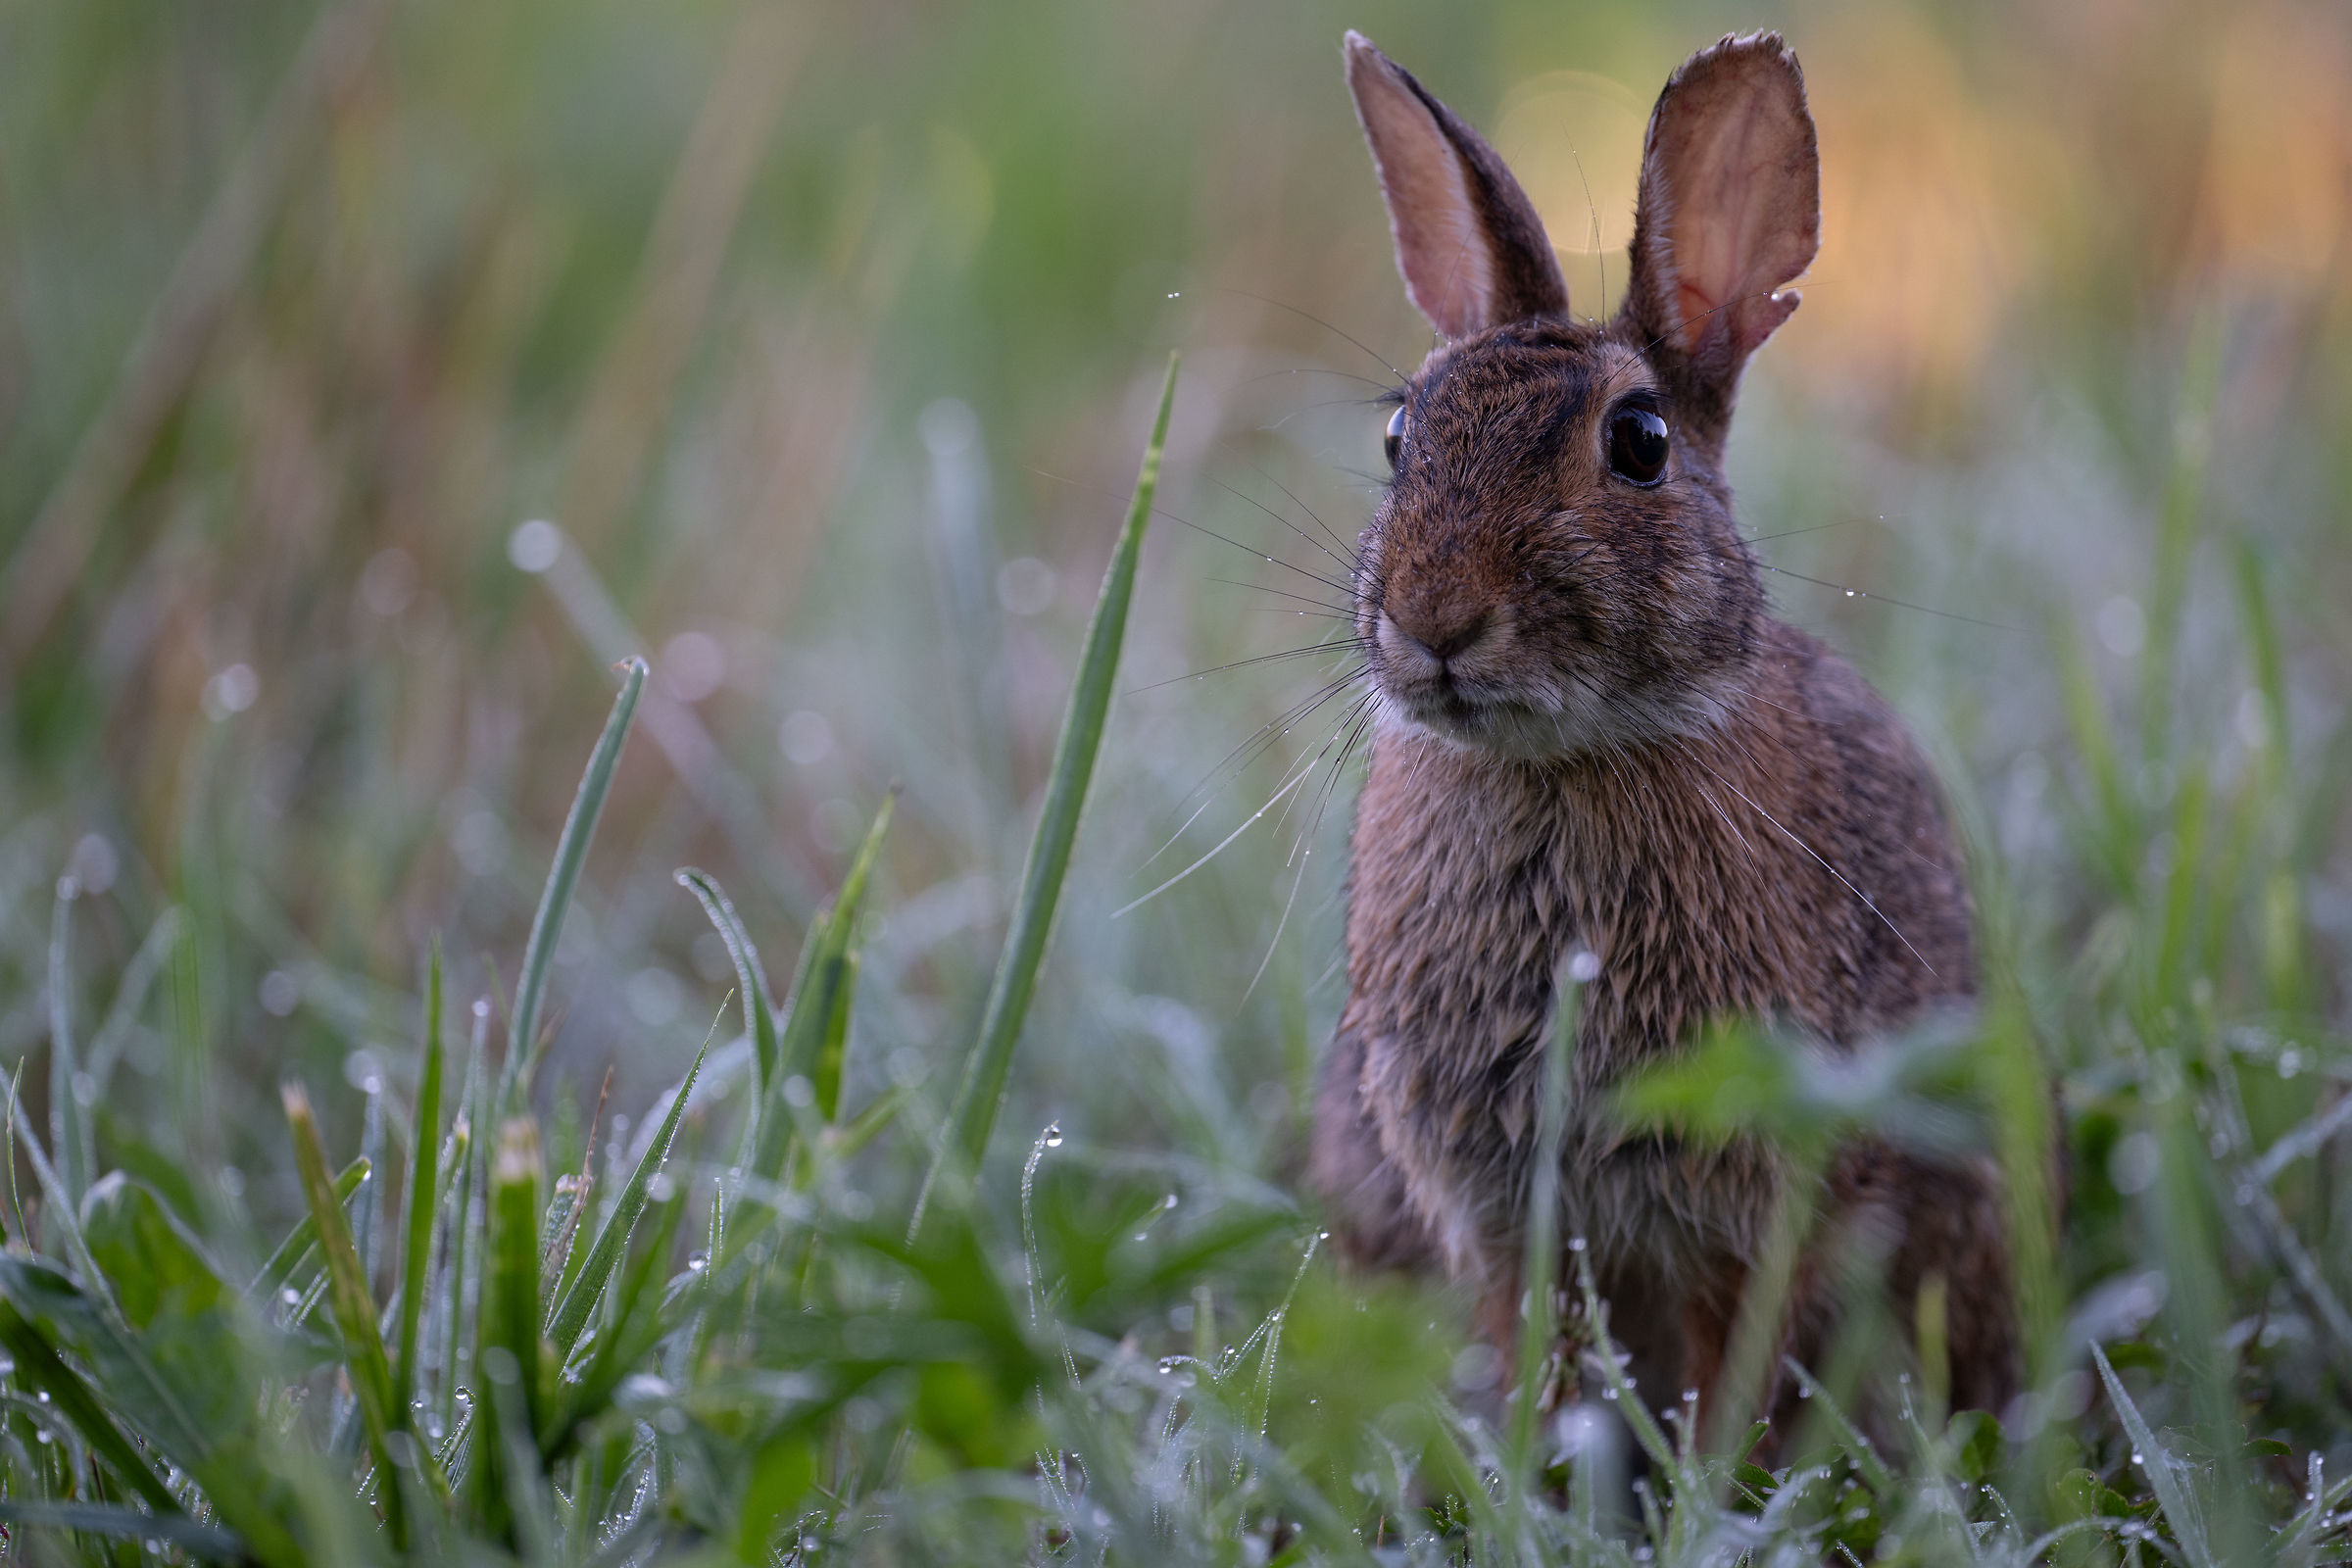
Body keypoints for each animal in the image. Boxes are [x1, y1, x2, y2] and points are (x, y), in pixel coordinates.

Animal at [1305, 29, 2024, 1438]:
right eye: (1401, 436)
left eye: (1638, 444)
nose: (1433, 619)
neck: (1556, 769)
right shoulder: (1503, 1213)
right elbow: (1547, 1357)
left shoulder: (1754, 1190)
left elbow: (1732, 1365)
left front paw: (1714, 1473)